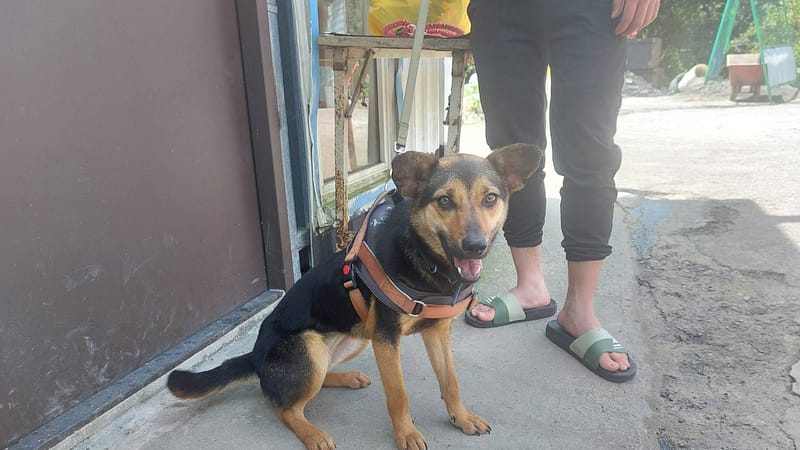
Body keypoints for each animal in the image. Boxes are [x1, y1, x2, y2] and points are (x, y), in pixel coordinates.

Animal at [167, 143, 541, 450]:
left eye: (490, 198)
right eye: (444, 201)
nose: (475, 246)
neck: (424, 259)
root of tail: (255, 356)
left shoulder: (436, 333)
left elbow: (451, 381)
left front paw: (461, 417)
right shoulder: (386, 339)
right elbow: (399, 394)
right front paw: (406, 434)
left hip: (356, 339)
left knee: (317, 382)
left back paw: (345, 378)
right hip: (312, 346)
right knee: (287, 410)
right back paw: (313, 434)